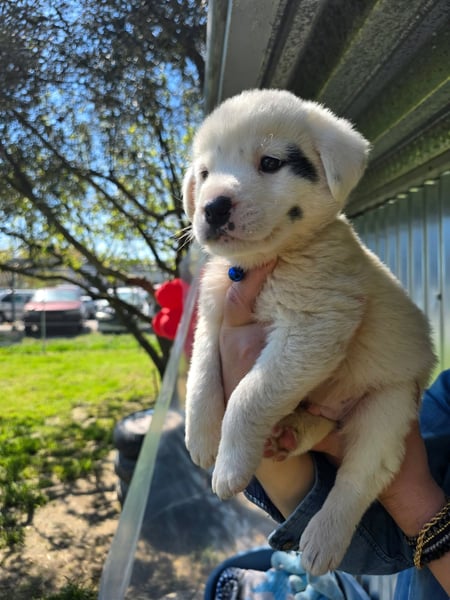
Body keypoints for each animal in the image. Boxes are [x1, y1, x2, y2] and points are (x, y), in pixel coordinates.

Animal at [182, 89, 435, 575]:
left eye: (270, 163)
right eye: (204, 174)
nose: (212, 207)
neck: (267, 261)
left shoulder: (313, 325)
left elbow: (248, 395)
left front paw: (228, 465)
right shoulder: (213, 314)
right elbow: (201, 372)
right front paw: (201, 437)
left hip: (390, 405)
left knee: (361, 477)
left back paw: (323, 537)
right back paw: (293, 430)